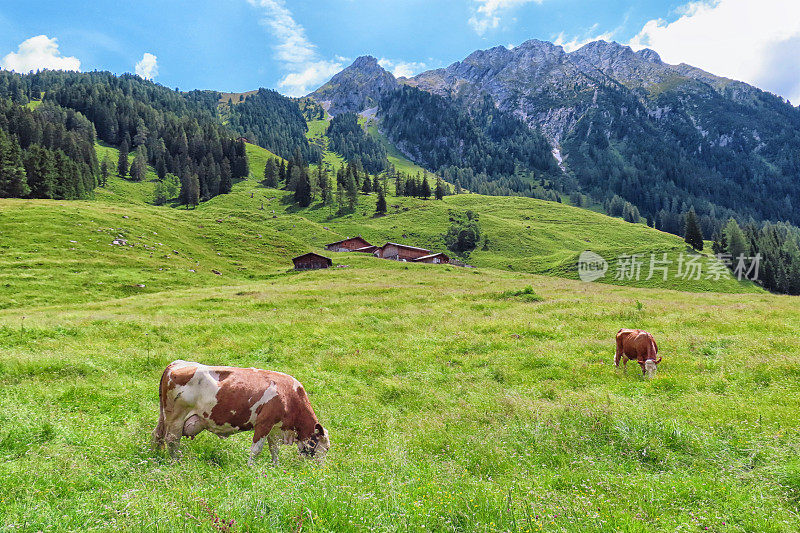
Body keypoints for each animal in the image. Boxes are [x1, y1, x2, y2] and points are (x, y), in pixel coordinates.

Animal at [152, 360, 330, 464]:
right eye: (326, 448)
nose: (319, 471)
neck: (288, 394)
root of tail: (175, 364)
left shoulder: (275, 428)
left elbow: (274, 449)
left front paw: (276, 467)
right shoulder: (264, 423)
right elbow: (256, 450)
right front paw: (251, 469)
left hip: (164, 418)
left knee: (157, 435)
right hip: (176, 418)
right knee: (172, 440)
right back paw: (176, 463)